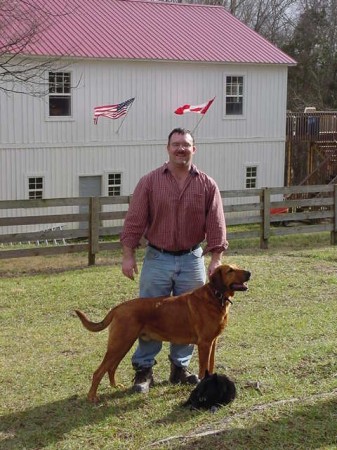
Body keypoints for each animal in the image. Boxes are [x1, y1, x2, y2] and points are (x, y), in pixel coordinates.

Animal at [76, 262, 249, 402]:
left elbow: (210, 366)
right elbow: (203, 369)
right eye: (230, 270)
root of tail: (118, 308)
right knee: (98, 372)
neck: (215, 296)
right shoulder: (204, 344)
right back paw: (92, 397)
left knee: (111, 368)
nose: (249, 273)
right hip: (120, 344)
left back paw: (114, 385)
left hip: (121, 345)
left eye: (237, 267)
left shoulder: (213, 342)